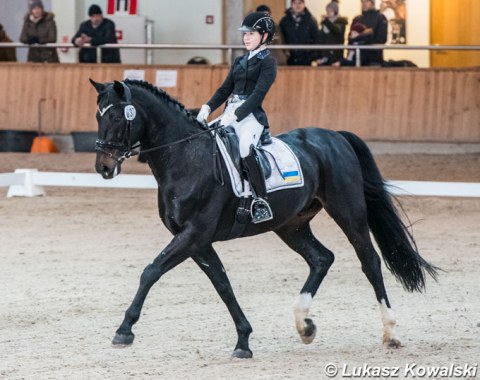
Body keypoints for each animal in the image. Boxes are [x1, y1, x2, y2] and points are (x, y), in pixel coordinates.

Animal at [90, 78, 438, 358]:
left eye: (117, 116)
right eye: (97, 115)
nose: (104, 167)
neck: (187, 158)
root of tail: (335, 136)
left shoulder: (194, 234)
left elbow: (150, 272)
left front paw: (124, 330)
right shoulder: (197, 241)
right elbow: (223, 284)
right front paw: (243, 341)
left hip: (348, 212)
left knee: (370, 262)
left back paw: (390, 333)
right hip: (291, 224)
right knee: (322, 258)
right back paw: (305, 325)